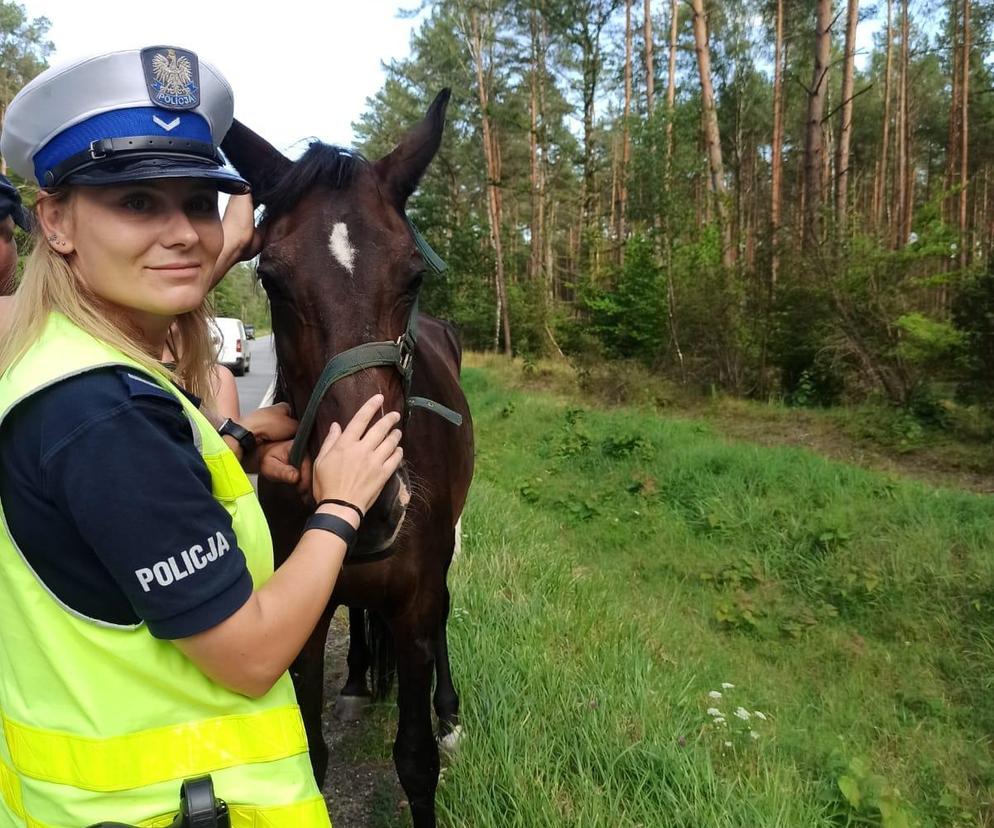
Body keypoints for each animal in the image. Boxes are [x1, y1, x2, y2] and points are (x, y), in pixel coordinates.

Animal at [221, 92, 472, 828]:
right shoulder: (298, 615)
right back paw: (361, 676)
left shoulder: (416, 605)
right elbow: (312, 756)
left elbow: (416, 761)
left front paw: (435, 726)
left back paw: (448, 713)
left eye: (412, 276)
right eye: (271, 279)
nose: (374, 504)